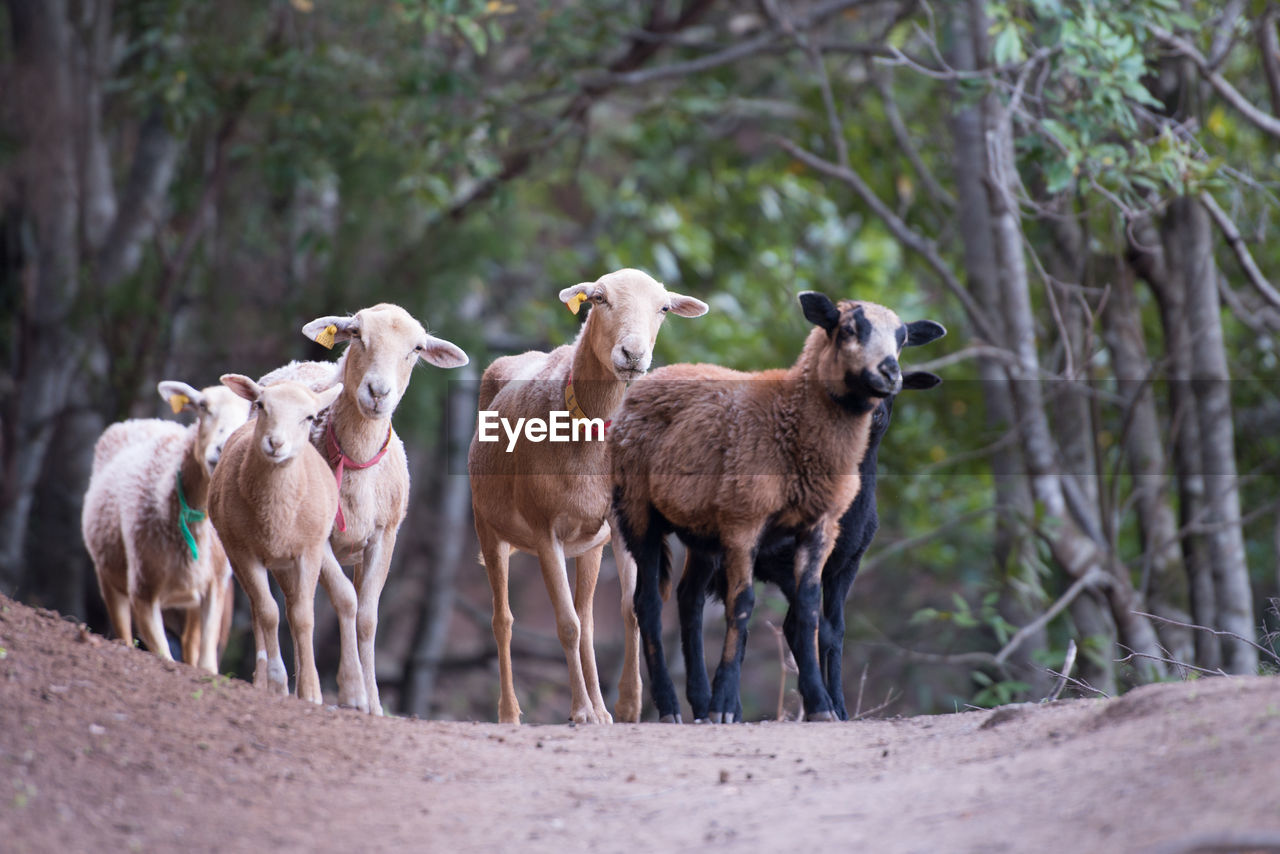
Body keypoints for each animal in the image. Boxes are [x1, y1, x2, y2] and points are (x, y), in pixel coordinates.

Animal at [81, 381, 250, 676]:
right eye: (203, 406)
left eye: (252, 412)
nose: (224, 447)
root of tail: (143, 420)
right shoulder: (142, 590)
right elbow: (164, 657)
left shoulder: (216, 585)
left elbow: (206, 664)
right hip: (109, 576)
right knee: (125, 636)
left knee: (191, 649)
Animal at [204, 376, 366, 706]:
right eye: (262, 405)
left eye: (310, 417)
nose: (276, 443)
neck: (274, 516)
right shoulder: (243, 551)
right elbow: (268, 612)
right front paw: (278, 682)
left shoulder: (309, 551)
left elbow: (303, 616)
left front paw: (311, 691)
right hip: (241, 554)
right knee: (259, 609)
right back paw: (268, 678)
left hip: (286, 561)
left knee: (292, 609)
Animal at [468, 267, 711, 722]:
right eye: (598, 298)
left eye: (664, 308)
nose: (632, 354)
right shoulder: (544, 527)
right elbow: (566, 624)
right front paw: (580, 712)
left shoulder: (619, 522)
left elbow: (629, 610)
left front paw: (628, 706)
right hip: (486, 523)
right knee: (503, 619)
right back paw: (511, 712)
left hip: (590, 545)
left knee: (589, 619)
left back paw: (602, 709)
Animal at [675, 366, 947, 722]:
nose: (875, 414)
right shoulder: (780, 561)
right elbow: (816, 627)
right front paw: (821, 701)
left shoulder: (846, 566)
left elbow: (835, 630)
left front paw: (838, 706)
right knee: (689, 600)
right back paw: (703, 701)